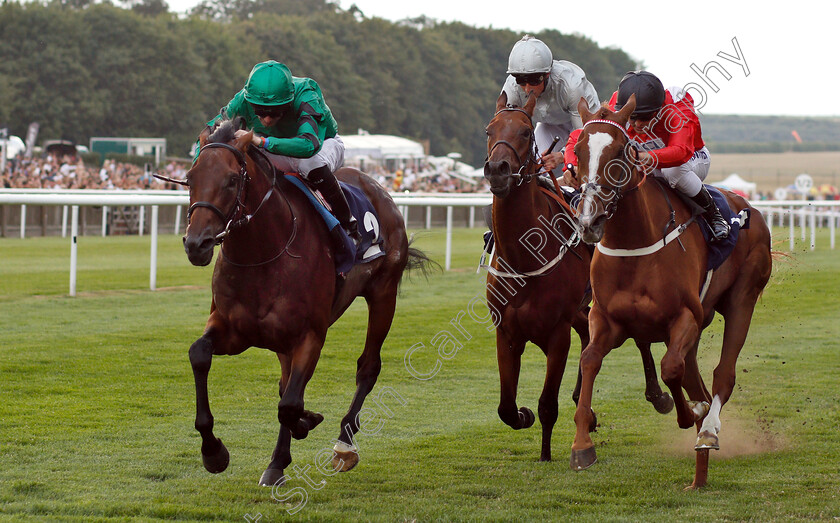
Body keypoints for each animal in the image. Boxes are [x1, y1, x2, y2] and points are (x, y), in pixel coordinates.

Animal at [178, 118, 430, 488]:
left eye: (232, 179)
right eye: (190, 177)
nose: (197, 244)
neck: (263, 254)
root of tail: (376, 186)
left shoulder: (310, 335)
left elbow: (290, 404)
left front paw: (307, 422)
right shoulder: (234, 330)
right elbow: (200, 354)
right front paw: (213, 452)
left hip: (383, 294)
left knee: (367, 366)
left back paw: (343, 445)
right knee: (288, 384)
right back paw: (277, 463)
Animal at [482, 94, 672, 462]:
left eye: (525, 131)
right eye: (489, 130)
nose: (497, 170)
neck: (524, 259)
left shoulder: (557, 333)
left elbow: (547, 404)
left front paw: (545, 453)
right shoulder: (506, 331)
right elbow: (505, 407)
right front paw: (524, 416)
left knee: (639, 339)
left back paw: (657, 395)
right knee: (590, 339)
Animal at [568, 96, 772, 490]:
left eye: (622, 150)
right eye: (579, 150)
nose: (589, 221)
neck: (635, 245)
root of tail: (749, 208)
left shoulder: (685, 317)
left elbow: (671, 368)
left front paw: (689, 415)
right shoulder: (606, 319)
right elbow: (589, 360)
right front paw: (582, 446)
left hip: (743, 298)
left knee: (722, 374)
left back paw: (708, 429)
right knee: (698, 379)